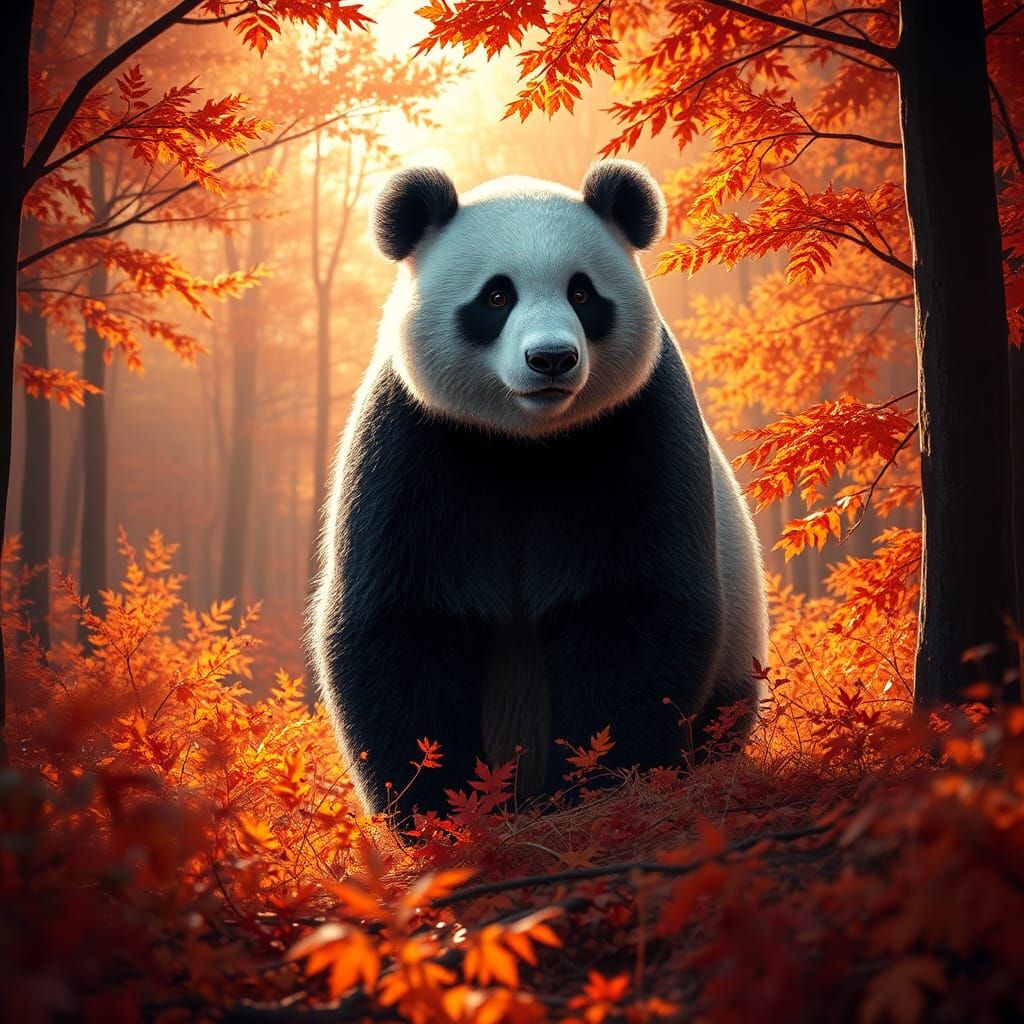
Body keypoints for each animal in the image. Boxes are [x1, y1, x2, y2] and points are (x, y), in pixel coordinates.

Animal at [309, 160, 769, 819]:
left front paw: (593, 790)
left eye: (582, 293)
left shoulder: (630, 425)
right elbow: (407, 616)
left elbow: (628, 605)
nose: (551, 358)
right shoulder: (417, 438)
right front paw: (444, 811)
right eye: (497, 296)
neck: (527, 442)